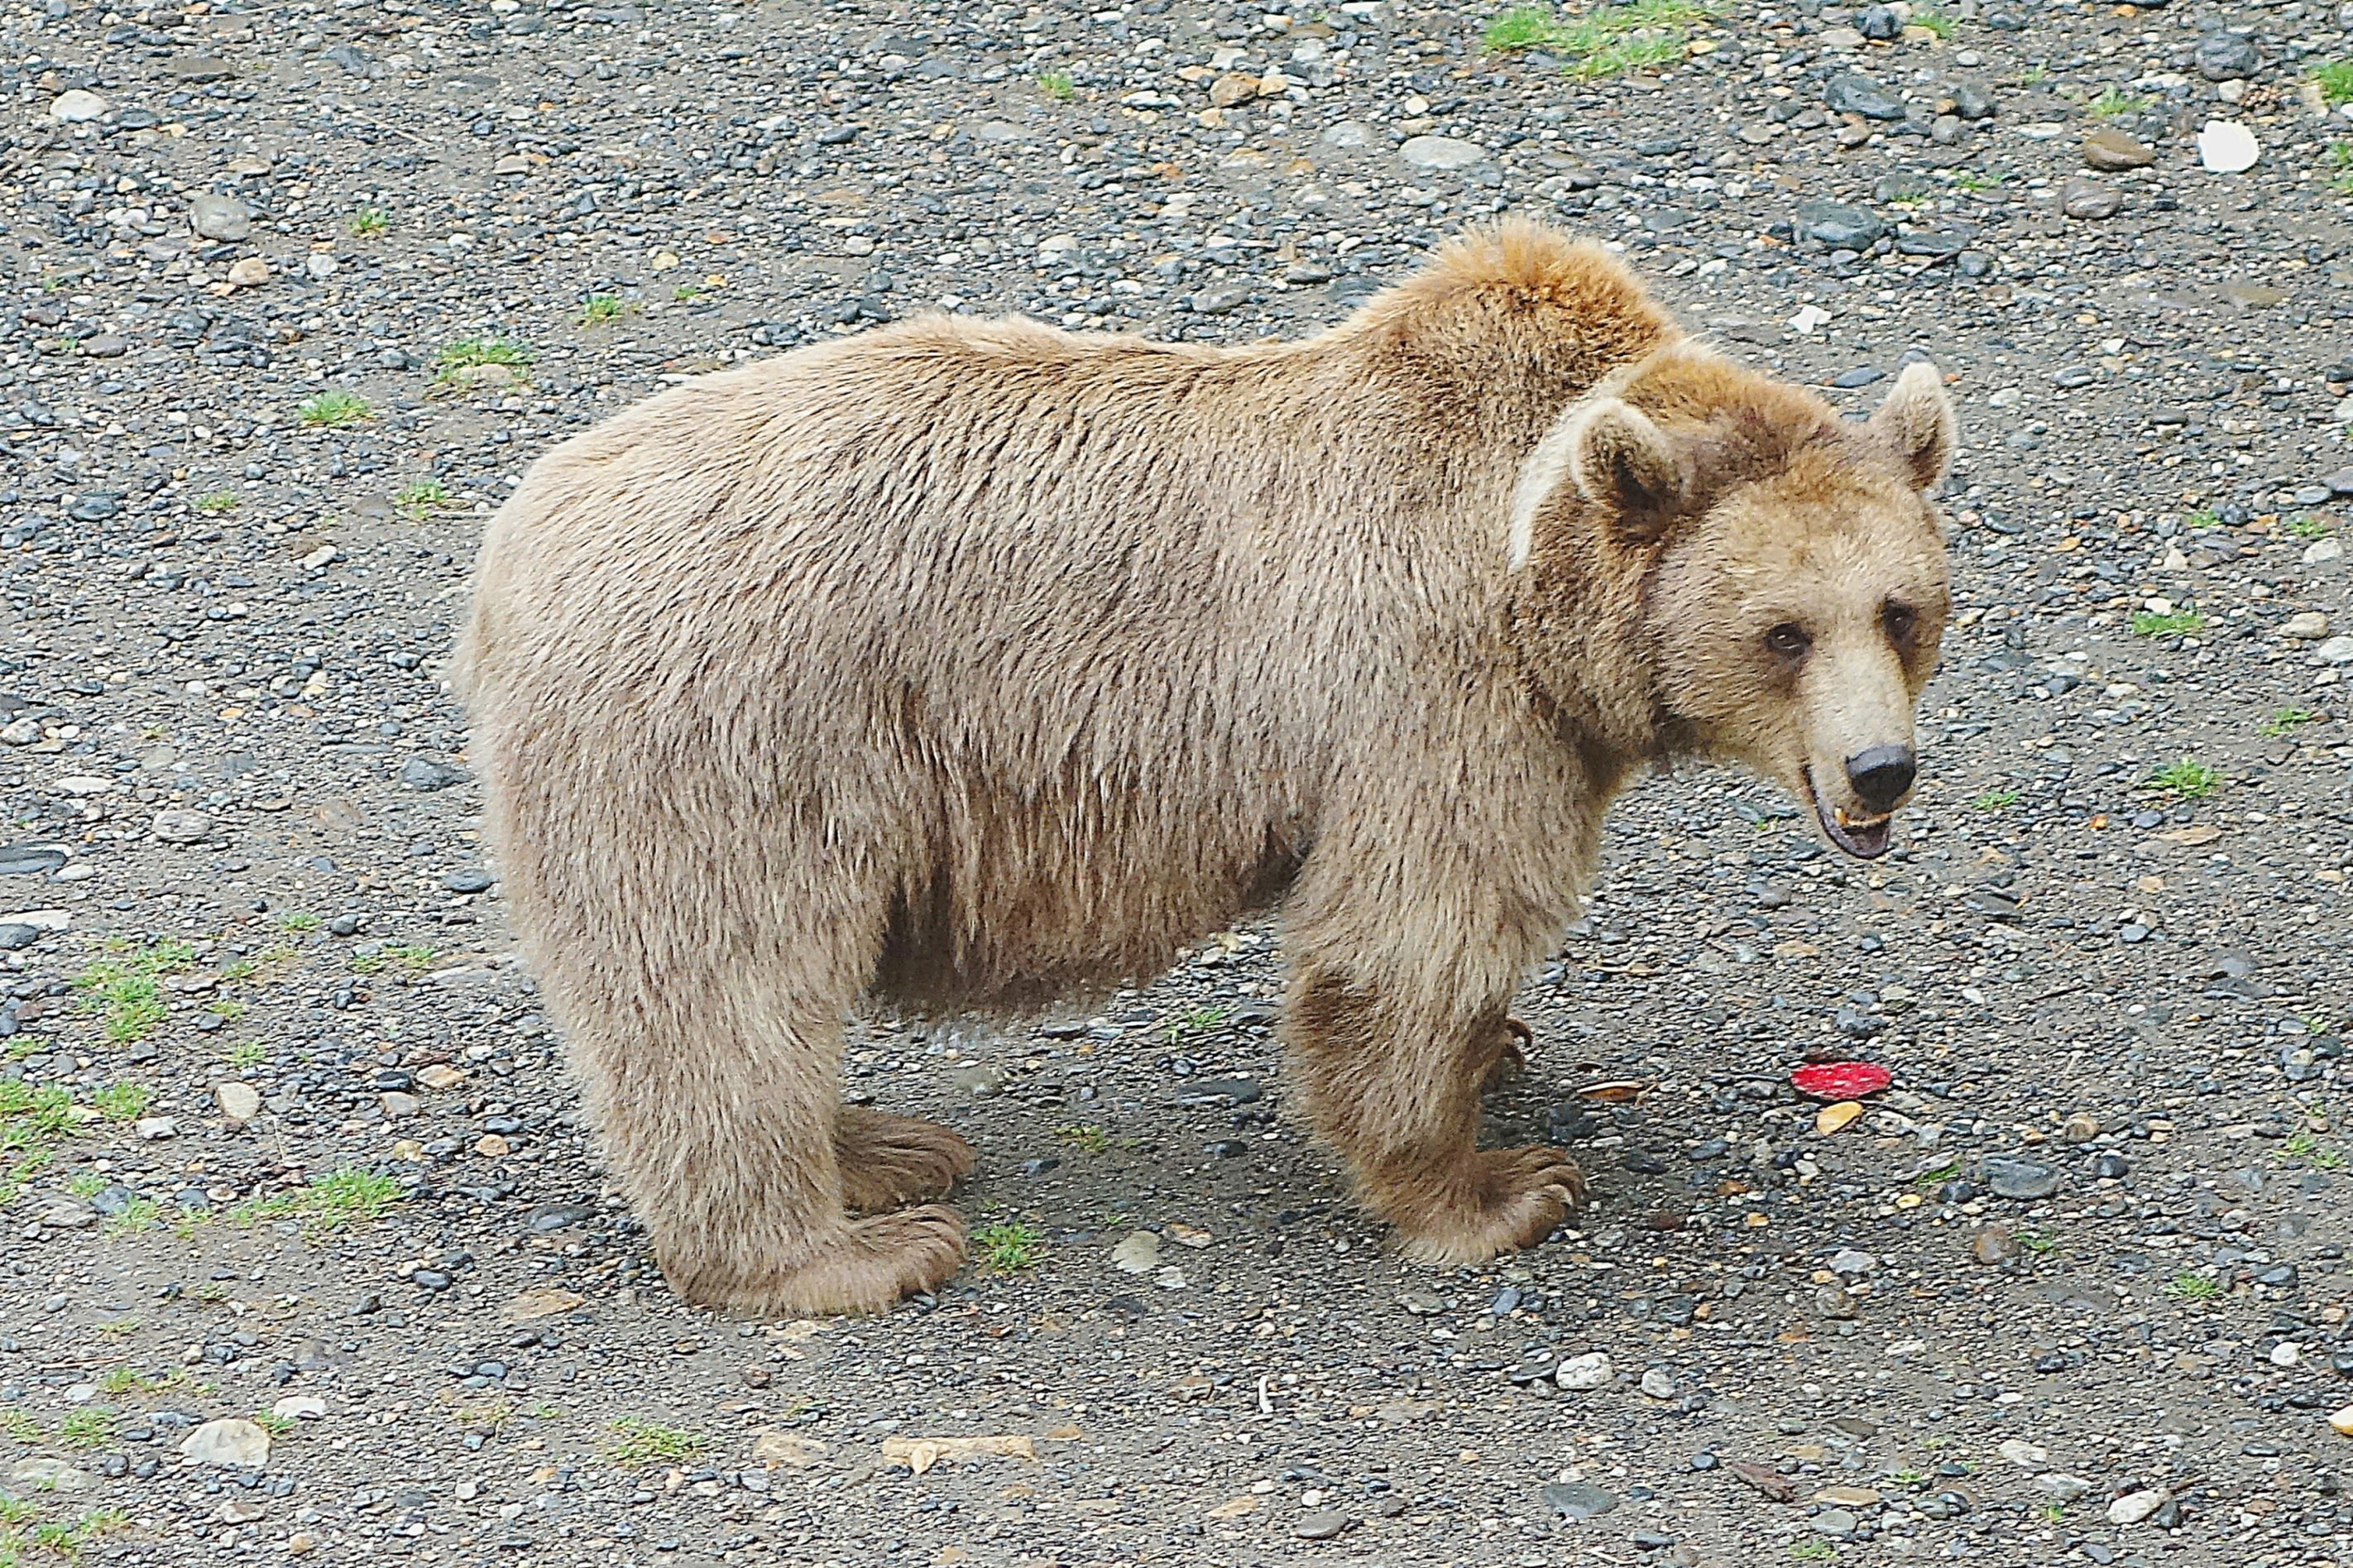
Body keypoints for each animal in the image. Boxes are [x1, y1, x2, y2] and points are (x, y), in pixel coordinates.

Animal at [453, 220, 1948, 1309]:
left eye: (1900, 610)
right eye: (1781, 631)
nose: (1878, 770)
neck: (1534, 556)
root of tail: (508, 552)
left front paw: (1505, 1048)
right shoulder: (1439, 695)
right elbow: (1412, 931)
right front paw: (1495, 1184)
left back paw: (879, 1148)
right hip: (733, 732)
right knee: (724, 987)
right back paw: (849, 1244)